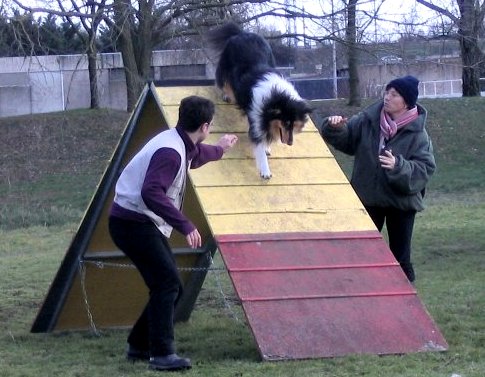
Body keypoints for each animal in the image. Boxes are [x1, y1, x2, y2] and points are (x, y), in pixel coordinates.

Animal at [207, 21, 312, 178]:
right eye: (286, 123)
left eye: (294, 125)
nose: (290, 143)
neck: (276, 96)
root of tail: (242, 33)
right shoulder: (257, 119)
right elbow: (259, 145)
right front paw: (265, 171)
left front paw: (267, 148)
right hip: (226, 66)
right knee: (221, 81)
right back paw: (225, 94)